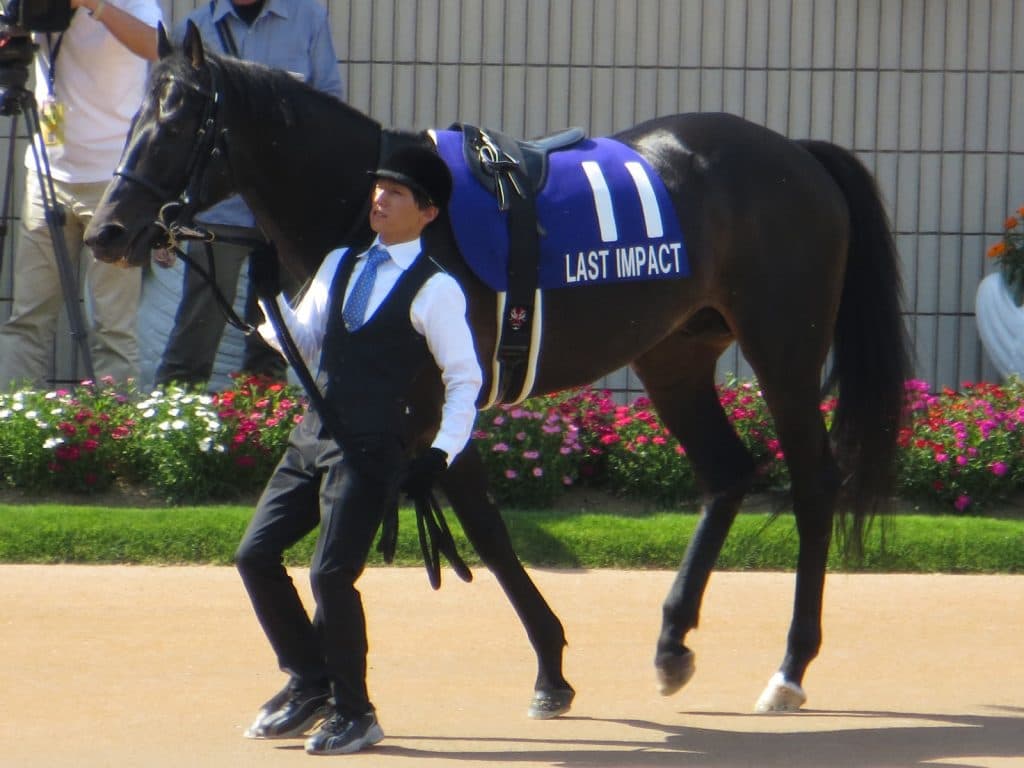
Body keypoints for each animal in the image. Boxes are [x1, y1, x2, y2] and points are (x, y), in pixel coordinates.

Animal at [85, 24, 910, 717]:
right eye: (134, 116)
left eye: (179, 122)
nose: (108, 232)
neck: (380, 212)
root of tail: (796, 153)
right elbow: (463, 523)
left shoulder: (439, 401)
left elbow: (481, 527)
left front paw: (549, 669)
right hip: (673, 353)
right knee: (728, 472)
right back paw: (673, 643)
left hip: (785, 349)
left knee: (814, 486)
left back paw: (790, 668)